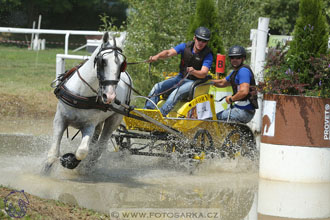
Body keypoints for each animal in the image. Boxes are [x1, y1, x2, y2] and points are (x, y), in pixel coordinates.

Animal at [43, 32, 132, 174]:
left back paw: (88, 166)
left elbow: (82, 151)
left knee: (99, 148)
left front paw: (71, 161)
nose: (110, 96)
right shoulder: (60, 119)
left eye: (122, 64)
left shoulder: (89, 125)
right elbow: (53, 153)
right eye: (103, 61)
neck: (82, 92)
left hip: (114, 120)